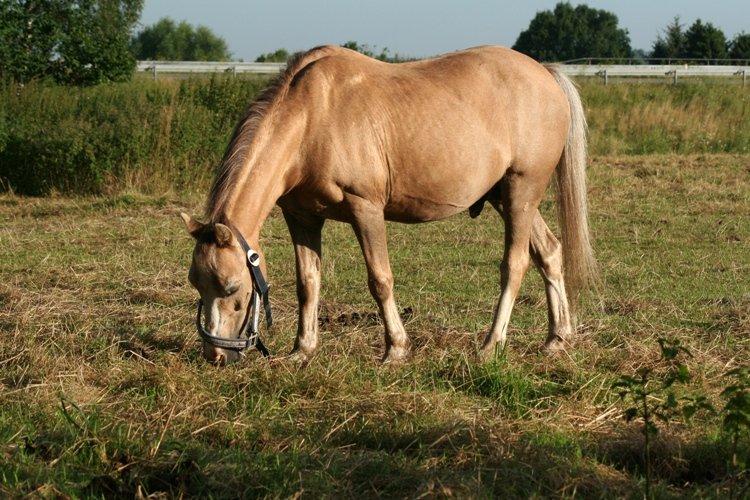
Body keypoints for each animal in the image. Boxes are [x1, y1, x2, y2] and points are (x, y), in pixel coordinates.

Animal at [182, 46, 600, 364]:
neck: (311, 118)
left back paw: (490, 345)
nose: (216, 356)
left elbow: (380, 280)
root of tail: (545, 74)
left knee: (514, 265)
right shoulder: (302, 217)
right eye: (196, 283)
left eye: (232, 286)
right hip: (508, 198)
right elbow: (308, 283)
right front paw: (303, 350)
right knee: (550, 252)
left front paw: (396, 349)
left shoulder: (365, 210)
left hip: (521, 193)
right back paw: (556, 339)